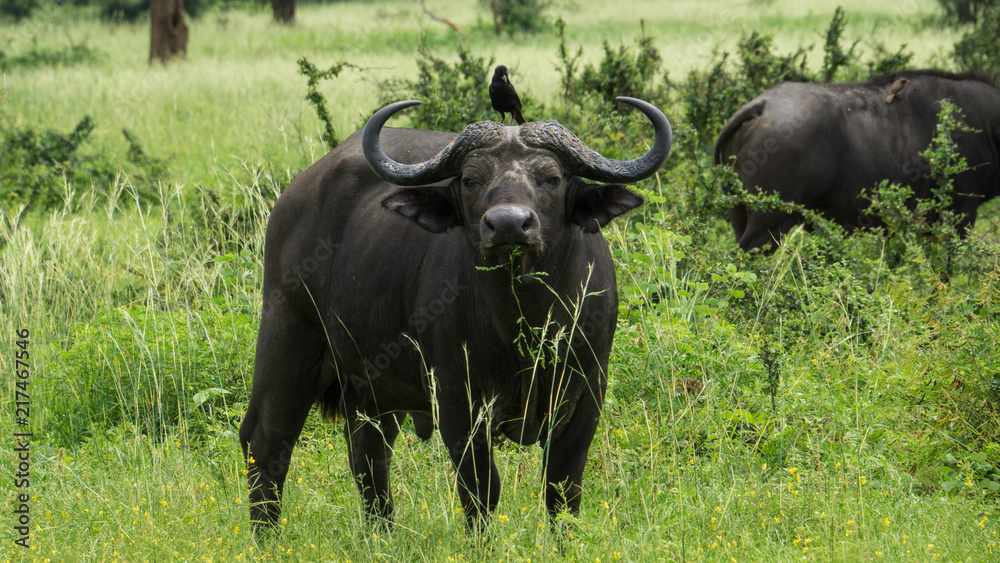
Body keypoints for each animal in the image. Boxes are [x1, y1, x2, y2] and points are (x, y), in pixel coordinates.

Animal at [240, 98, 672, 532]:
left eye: (551, 178)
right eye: (470, 180)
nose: (508, 224)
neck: (523, 325)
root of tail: (296, 194)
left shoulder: (587, 393)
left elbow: (563, 489)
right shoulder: (455, 397)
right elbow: (481, 490)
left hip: (373, 384)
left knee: (367, 448)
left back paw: (382, 533)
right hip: (288, 338)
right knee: (266, 442)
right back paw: (267, 535)